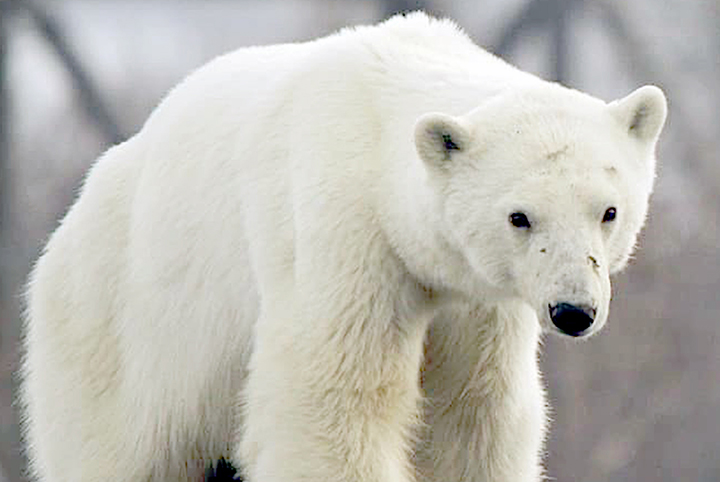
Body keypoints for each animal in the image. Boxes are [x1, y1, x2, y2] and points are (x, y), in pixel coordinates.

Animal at [19, 10, 668, 482]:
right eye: (520, 217)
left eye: (609, 211)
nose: (573, 311)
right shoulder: (345, 230)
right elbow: (332, 401)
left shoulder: (477, 302)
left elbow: (472, 418)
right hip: (121, 334)